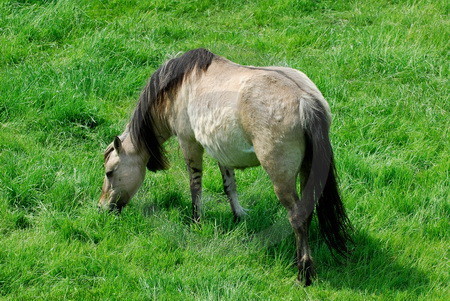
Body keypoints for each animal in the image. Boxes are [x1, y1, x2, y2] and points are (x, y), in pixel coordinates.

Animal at [97, 48, 352, 284]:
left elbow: (195, 185)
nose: (102, 208)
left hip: (281, 178)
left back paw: (304, 272)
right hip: (308, 171)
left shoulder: (189, 143)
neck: (179, 86)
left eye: (110, 172)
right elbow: (229, 184)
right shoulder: (221, 150)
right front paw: (238, 215)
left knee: (297, 217)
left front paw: (196, 220)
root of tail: (305, 101)